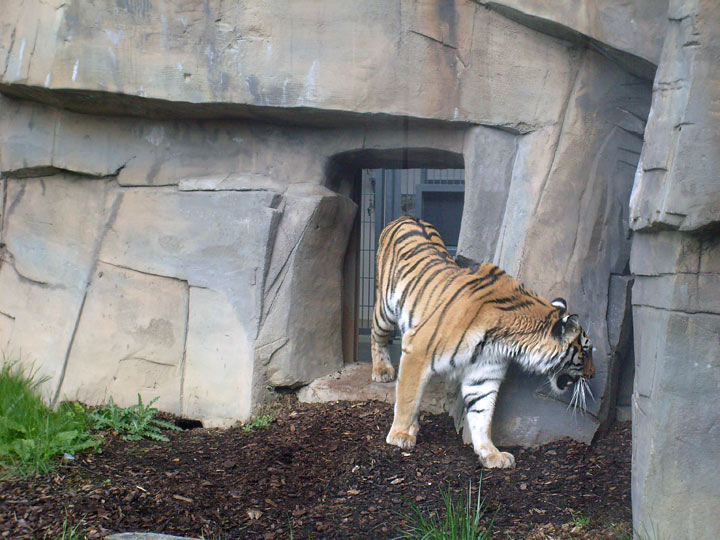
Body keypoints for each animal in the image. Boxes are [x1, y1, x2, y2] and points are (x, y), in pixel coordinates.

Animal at [368, 215, 592, 468]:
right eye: (585, 351)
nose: (592, 375)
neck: (503, 341)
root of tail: (406, 216)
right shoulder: (418, 350)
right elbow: (408, 397)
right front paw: (399, 435)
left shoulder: (485, 373)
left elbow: (482, 414)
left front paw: (491, 453)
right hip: (385, 309)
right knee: (376, 333)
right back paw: (382, 370)